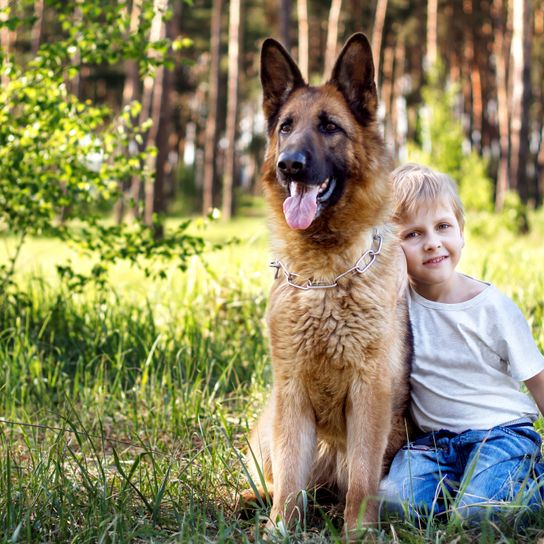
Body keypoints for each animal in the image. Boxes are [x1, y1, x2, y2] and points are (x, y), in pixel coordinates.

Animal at [244, 34, 410, 536]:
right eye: (285, 127)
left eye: (330, 127)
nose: (290, 165)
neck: (324, 280)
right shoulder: (292, 393)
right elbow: (288, 482)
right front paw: (279, 529)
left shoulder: (370, 396)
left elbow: (362, 480)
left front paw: (359, 533)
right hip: (271, 419)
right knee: (272, 479)